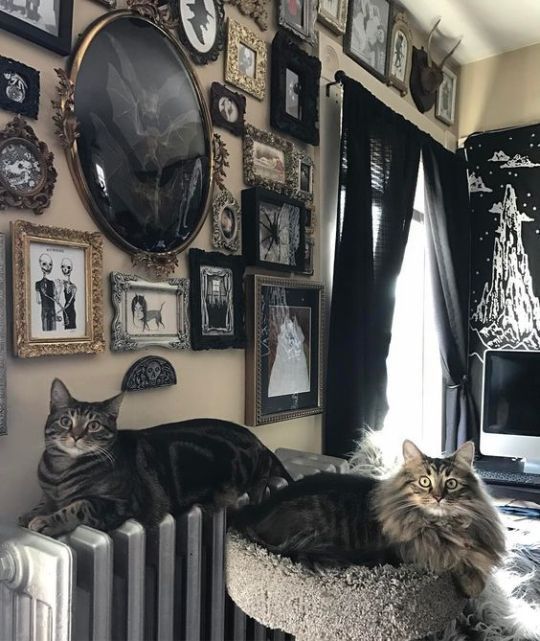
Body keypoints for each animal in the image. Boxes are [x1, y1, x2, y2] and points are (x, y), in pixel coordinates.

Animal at [19, 378, 292, 536]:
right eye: (66, 421)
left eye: (94, 425)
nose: (75, 436)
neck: (60, 471)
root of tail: (255, 438)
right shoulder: (49, 494)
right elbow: (43, 503)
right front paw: (30, 513)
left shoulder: (121, 503)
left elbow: (78, 506)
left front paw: (47, 521)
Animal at [233, 440, 506, 596]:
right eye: (424, 482)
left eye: (450, 484)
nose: (438, 497)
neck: (442, 526)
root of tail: (250, 511)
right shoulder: (412, 553)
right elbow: (458, 563)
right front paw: (471, 586)